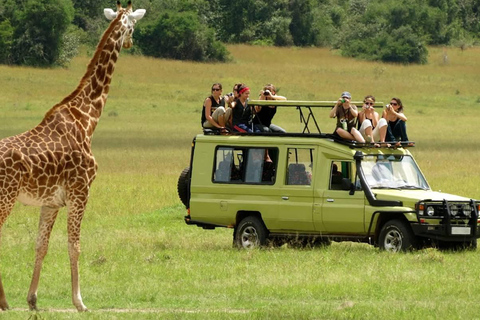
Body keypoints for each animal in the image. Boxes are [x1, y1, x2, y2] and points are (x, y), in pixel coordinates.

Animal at [0, 0, 146, 312]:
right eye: (134, 24)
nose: (131, 42)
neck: (87, 118)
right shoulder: (81, 191)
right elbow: (74, 246)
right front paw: (80, 302)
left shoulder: (51, 201)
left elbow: (41, 245)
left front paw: (32, 300)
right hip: (6, 197)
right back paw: (3, 301)